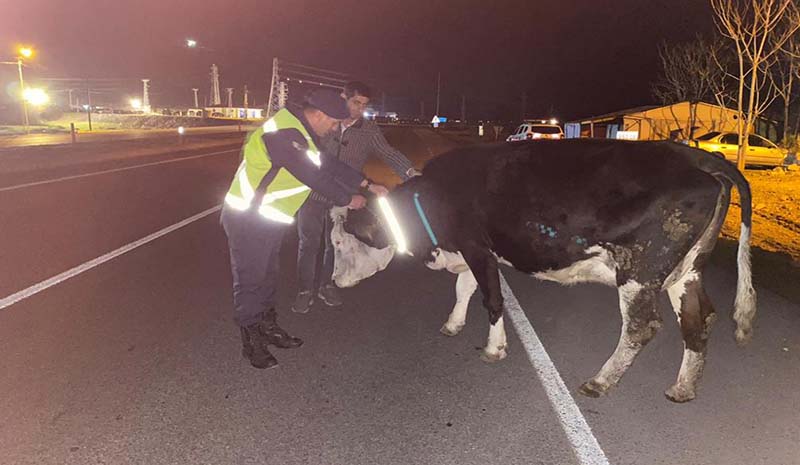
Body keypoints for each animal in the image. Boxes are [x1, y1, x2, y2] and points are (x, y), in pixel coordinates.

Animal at [332, 139, 756, 402]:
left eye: (339, 242)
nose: (334, 281)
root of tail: (699, 158)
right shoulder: (469, 248)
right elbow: (463, 288)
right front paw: (453, 324)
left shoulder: (476, 246)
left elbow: (491, 298)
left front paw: (494, 348)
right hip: (686, 270)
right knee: (700, 318)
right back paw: (683, 388)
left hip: (641, 269)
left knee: (642, 326)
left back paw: (600, 381)